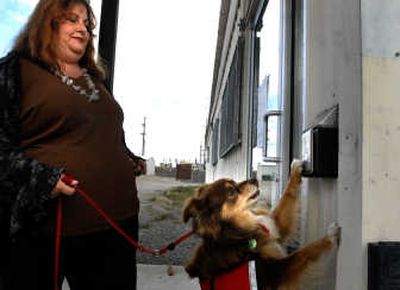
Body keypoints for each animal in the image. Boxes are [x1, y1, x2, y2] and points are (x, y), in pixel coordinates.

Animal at [183, 160, 340, 288]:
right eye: (231, 191)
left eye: (234, 182)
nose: (254, 178)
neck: (237, 232)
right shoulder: (274, 272)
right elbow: (304, 252)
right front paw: (330, 237)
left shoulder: (275, 226)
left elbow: (287, 195)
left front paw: (295, 169)